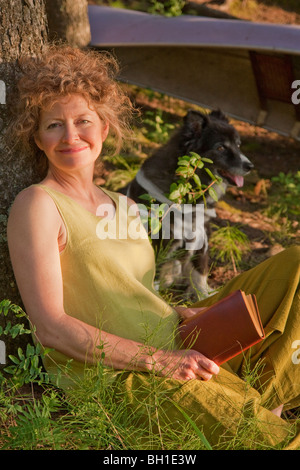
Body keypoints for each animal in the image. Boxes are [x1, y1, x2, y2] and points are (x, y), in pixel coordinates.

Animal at [119, 109, 253, 300]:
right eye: (221, 147)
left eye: (238, 145)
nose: (250, 166)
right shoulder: (162, 243)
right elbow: (155, 278)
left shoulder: (201, 239)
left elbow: (200, 275)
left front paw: (204, 297)